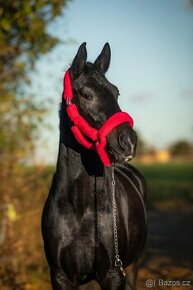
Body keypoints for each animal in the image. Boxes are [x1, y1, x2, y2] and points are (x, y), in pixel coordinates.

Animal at [42, 42, 147, 288]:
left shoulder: (112, 274)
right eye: (86, 94)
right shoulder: (61, 276)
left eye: (116, 92)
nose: (128, 141)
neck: (79, 207)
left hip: (133, 266)